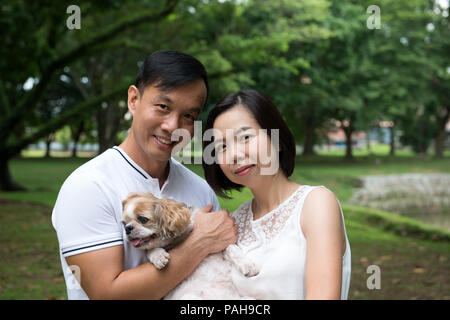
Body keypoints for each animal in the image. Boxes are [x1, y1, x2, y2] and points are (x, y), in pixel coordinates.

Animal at [121, 192, 258, 300]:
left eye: (143, 219)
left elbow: (232, 248)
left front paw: (248, 265)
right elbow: (150, 250)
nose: (127, 228)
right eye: (123, 223)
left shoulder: (221, 242)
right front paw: (159, 257)